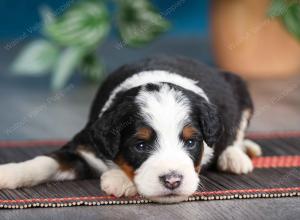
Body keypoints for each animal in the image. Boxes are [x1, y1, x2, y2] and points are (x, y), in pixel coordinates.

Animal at [0, 56, 260, 203]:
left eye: (190, 142)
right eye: (141, 145)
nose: (173, 181)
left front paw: (118, 180)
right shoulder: (84, 148)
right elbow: (44, 162)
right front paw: (8, 173)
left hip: (239, 86)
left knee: (236, 133)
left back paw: (235, 157)